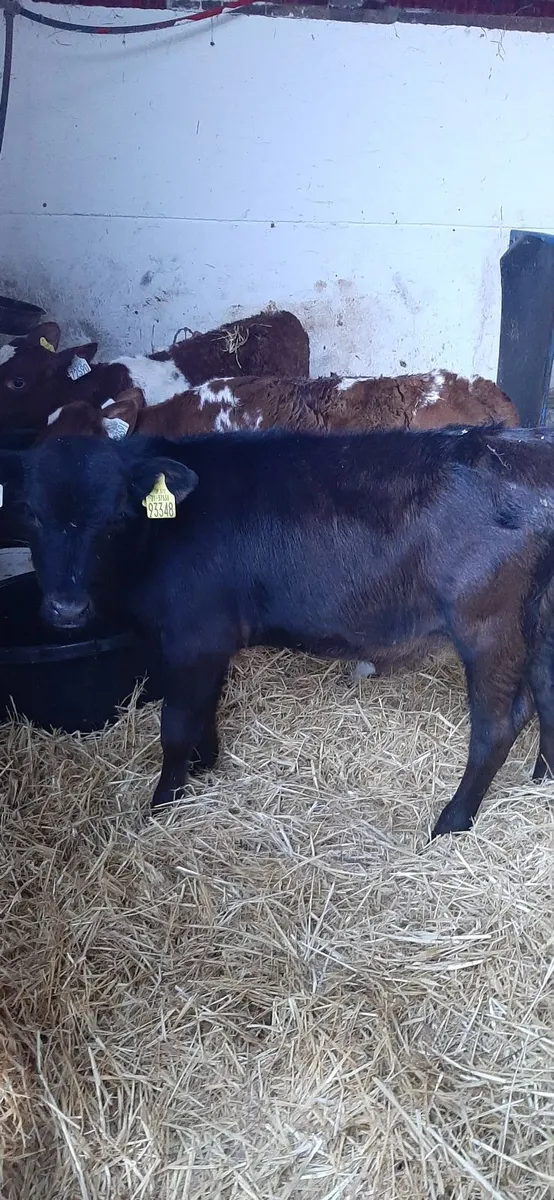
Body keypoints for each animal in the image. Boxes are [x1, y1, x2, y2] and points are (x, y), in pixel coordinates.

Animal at [1, 424, 554, 837]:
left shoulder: (192, 636)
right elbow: (205, 707)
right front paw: (205, 765)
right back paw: (542, 783)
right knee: (546, 694)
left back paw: (452, 822)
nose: (67, 608)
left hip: (487, 624)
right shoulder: (210, 642)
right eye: (29, 511)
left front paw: (163, 802)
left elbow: (175, 725)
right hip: (543, 616)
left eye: (116, 516)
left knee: (497, 727)